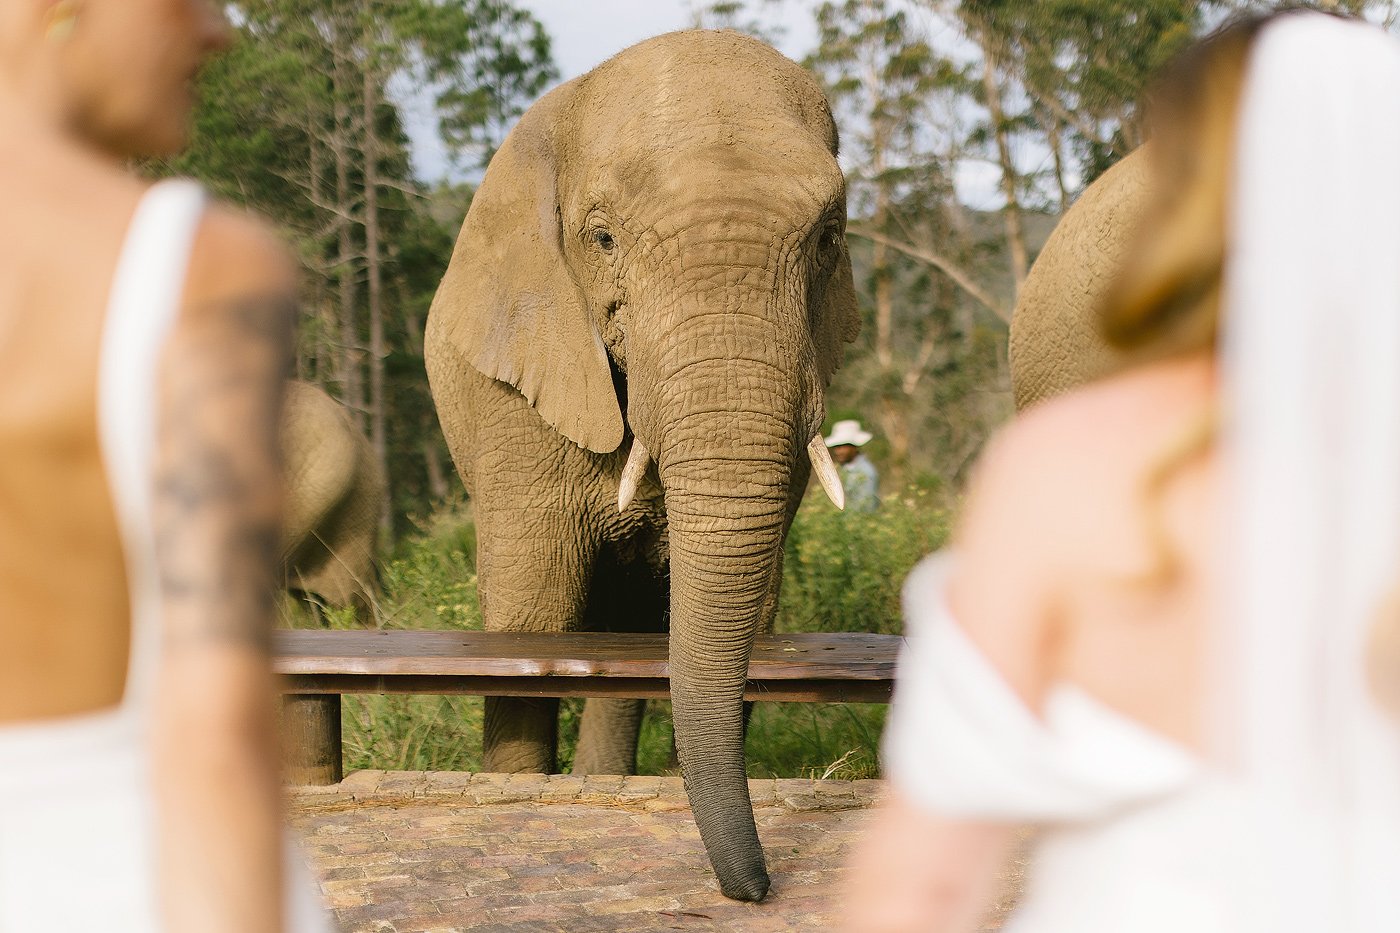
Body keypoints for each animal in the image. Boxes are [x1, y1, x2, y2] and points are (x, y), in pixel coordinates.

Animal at [423, 30, 859, 901]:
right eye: (603, 239)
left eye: (830, 237)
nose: (757, 888)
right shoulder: (516, 391)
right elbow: (533, 615)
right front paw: (516, 792)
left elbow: (744, 613)